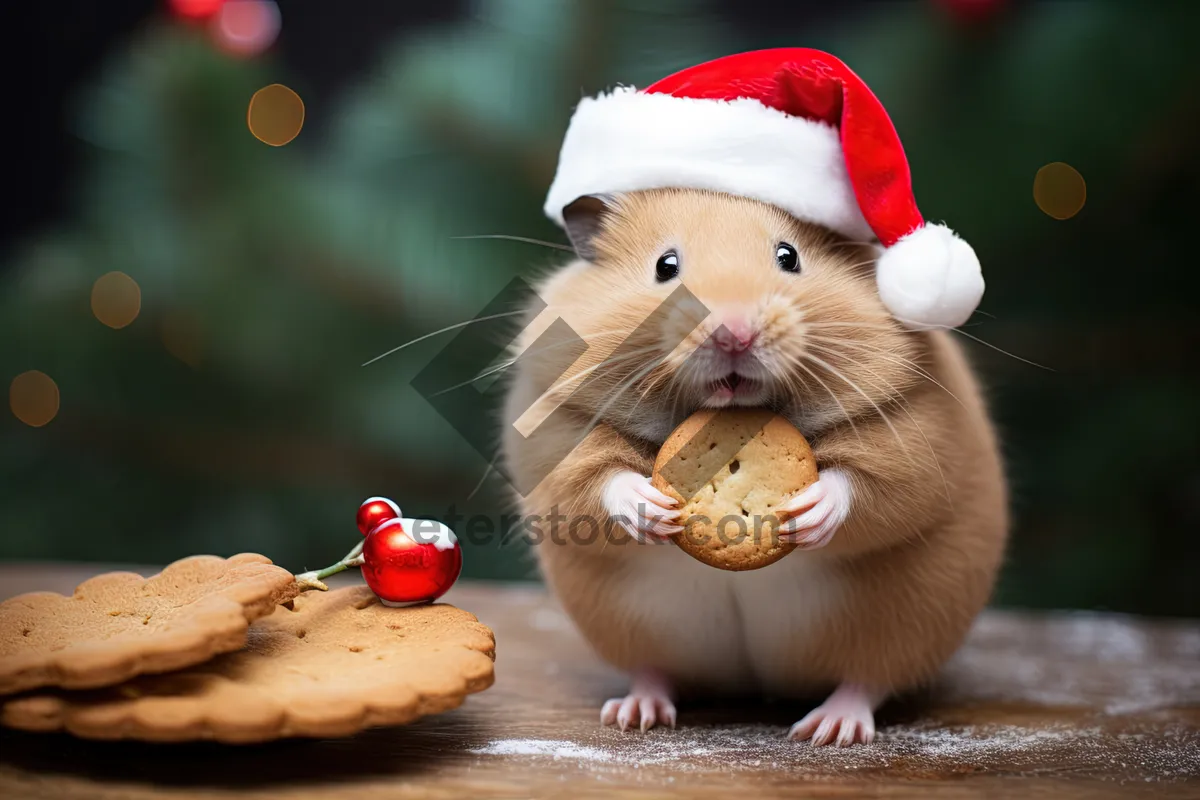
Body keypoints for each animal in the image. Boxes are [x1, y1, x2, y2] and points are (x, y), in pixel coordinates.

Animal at [501, 190, 1008, 748]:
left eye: (789, 257)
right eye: (665, 266)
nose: (734, 333)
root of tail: (755, 685)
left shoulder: (917, 427)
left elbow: (872, 481)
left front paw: (807, 510)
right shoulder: (552, 427)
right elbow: (591, 478)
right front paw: (652, 506)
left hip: (910, 622)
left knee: (869, 679)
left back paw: (829, 730)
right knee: (653, 671)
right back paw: (634, 713)